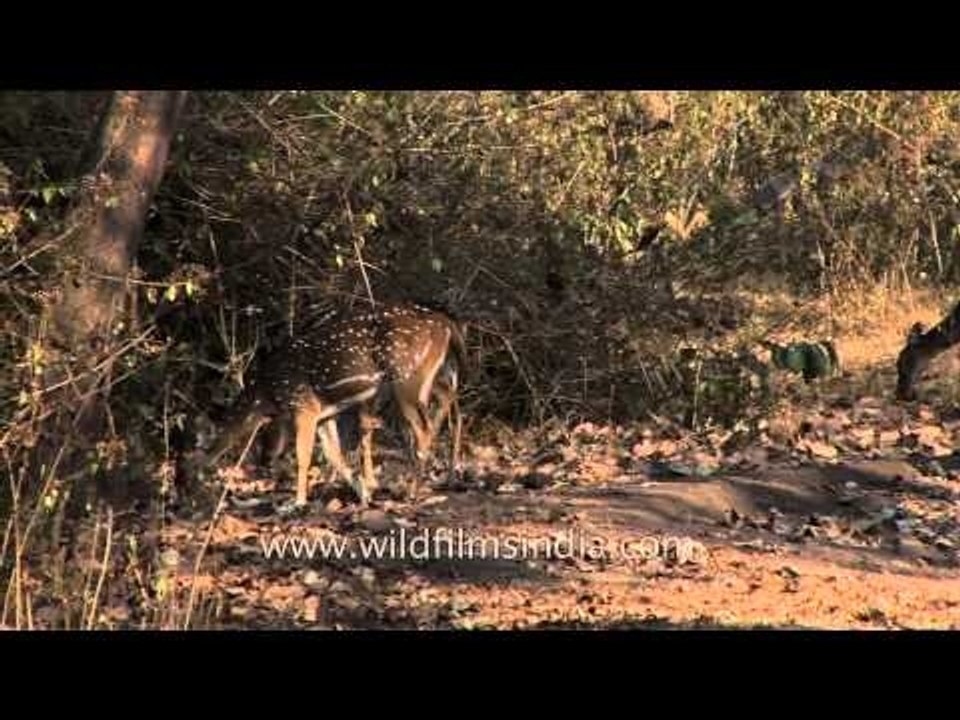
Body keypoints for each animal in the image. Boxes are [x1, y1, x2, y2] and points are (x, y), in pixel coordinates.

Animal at [206, 301, 467, 507]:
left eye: (263, 435)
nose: (265, 460)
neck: (268, 392)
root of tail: (446, 325)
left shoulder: (304, 405)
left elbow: (304, 455)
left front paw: (297, 502)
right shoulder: (325, 413)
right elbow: (333, 452)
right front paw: (364, 493)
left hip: (406, 377)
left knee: (424, 428)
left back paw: (412, 491)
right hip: (428, 376)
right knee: (448, 399)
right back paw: (445, 477)